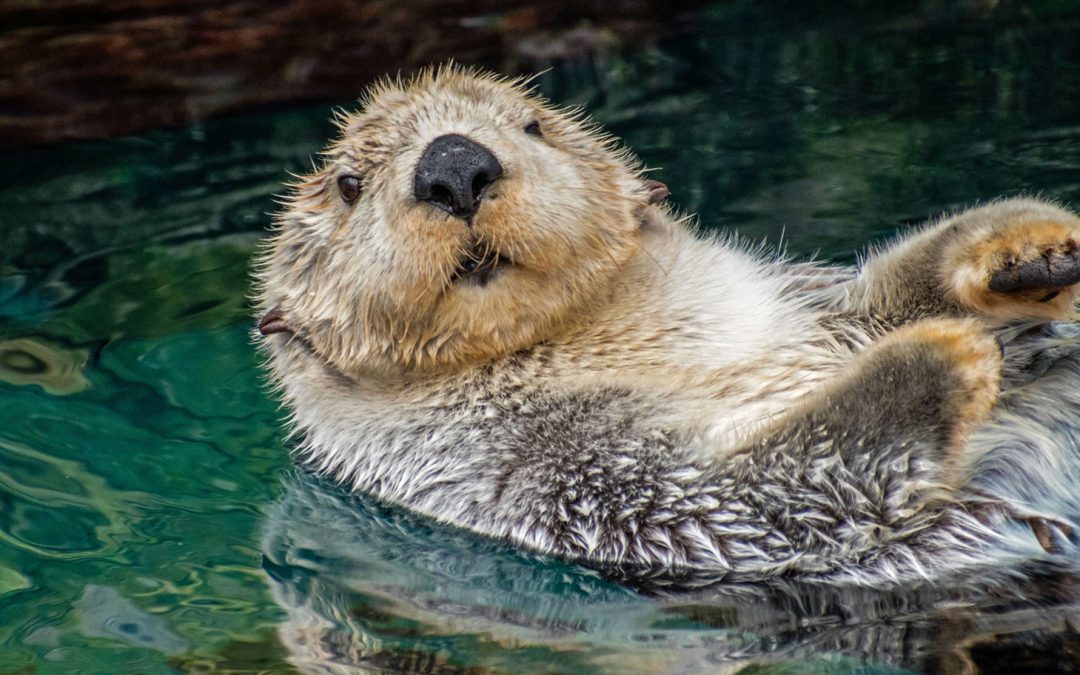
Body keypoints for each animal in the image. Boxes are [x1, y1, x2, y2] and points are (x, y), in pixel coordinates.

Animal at [254, 65, 1080, 586]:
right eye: (349, 184)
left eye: (533, 125)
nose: (455, 165)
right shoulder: (556, 480)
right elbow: (767, 491)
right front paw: (943, 353)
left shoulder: (809, 313)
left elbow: (889, 291)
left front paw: (1028, 249)